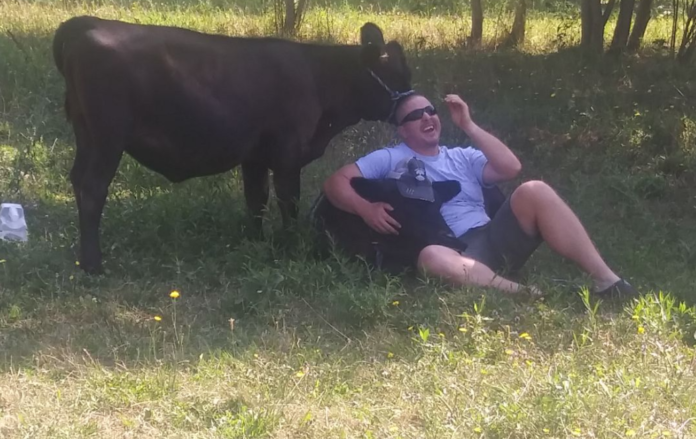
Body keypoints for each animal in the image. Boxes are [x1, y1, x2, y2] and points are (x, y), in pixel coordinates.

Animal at [52, 16, 412, 273]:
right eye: (396, 76)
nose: (418, 107)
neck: (319, 77)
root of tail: (86, 23)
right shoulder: (287, 155)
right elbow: (288, 202)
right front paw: (290, 245)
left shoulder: (254, 157)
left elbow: (256, 200)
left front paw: (255, 242)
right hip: (107, 139)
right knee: (93, 189)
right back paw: (93, 265)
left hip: (86, 136)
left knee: (78, 180)